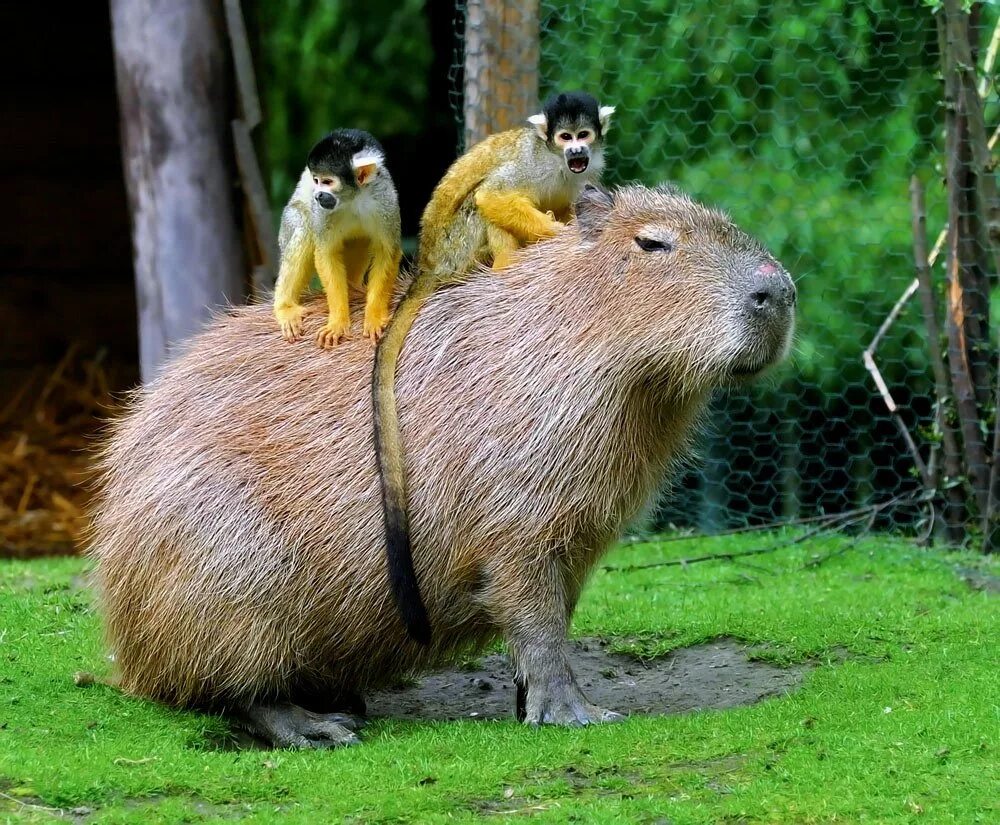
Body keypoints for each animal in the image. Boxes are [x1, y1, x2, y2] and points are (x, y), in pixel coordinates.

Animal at [274, 127, 402, 346]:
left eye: (327, 182)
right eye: (316, 180)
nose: (317, 194)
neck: (353, 198)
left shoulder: (385, 198)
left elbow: (387, 251)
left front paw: (375, 316)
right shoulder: (322, 210)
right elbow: (326, 253)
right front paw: (337, 322)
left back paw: (352, 286)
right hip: (286, 225)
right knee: (304, 225)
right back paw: (285, 306)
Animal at [372, 91, 612, 644]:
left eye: (583, 136)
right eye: (563, 138)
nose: (576, 152)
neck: (558, 164)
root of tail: (430, 264)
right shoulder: (534, 162)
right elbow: (496, 197)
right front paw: (556, 232)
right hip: (459, 246)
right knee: (483, 205)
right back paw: (507, 266)